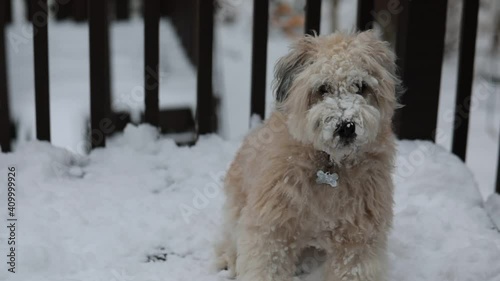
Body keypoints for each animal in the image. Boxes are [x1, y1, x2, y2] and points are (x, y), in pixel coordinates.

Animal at [214, 30, 398, 280]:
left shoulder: (358, 235)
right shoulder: (271, 225)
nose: (346, 126)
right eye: (322, 88)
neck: (330, 165)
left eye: (361, 86)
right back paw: (227, 261)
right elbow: (265, 262)